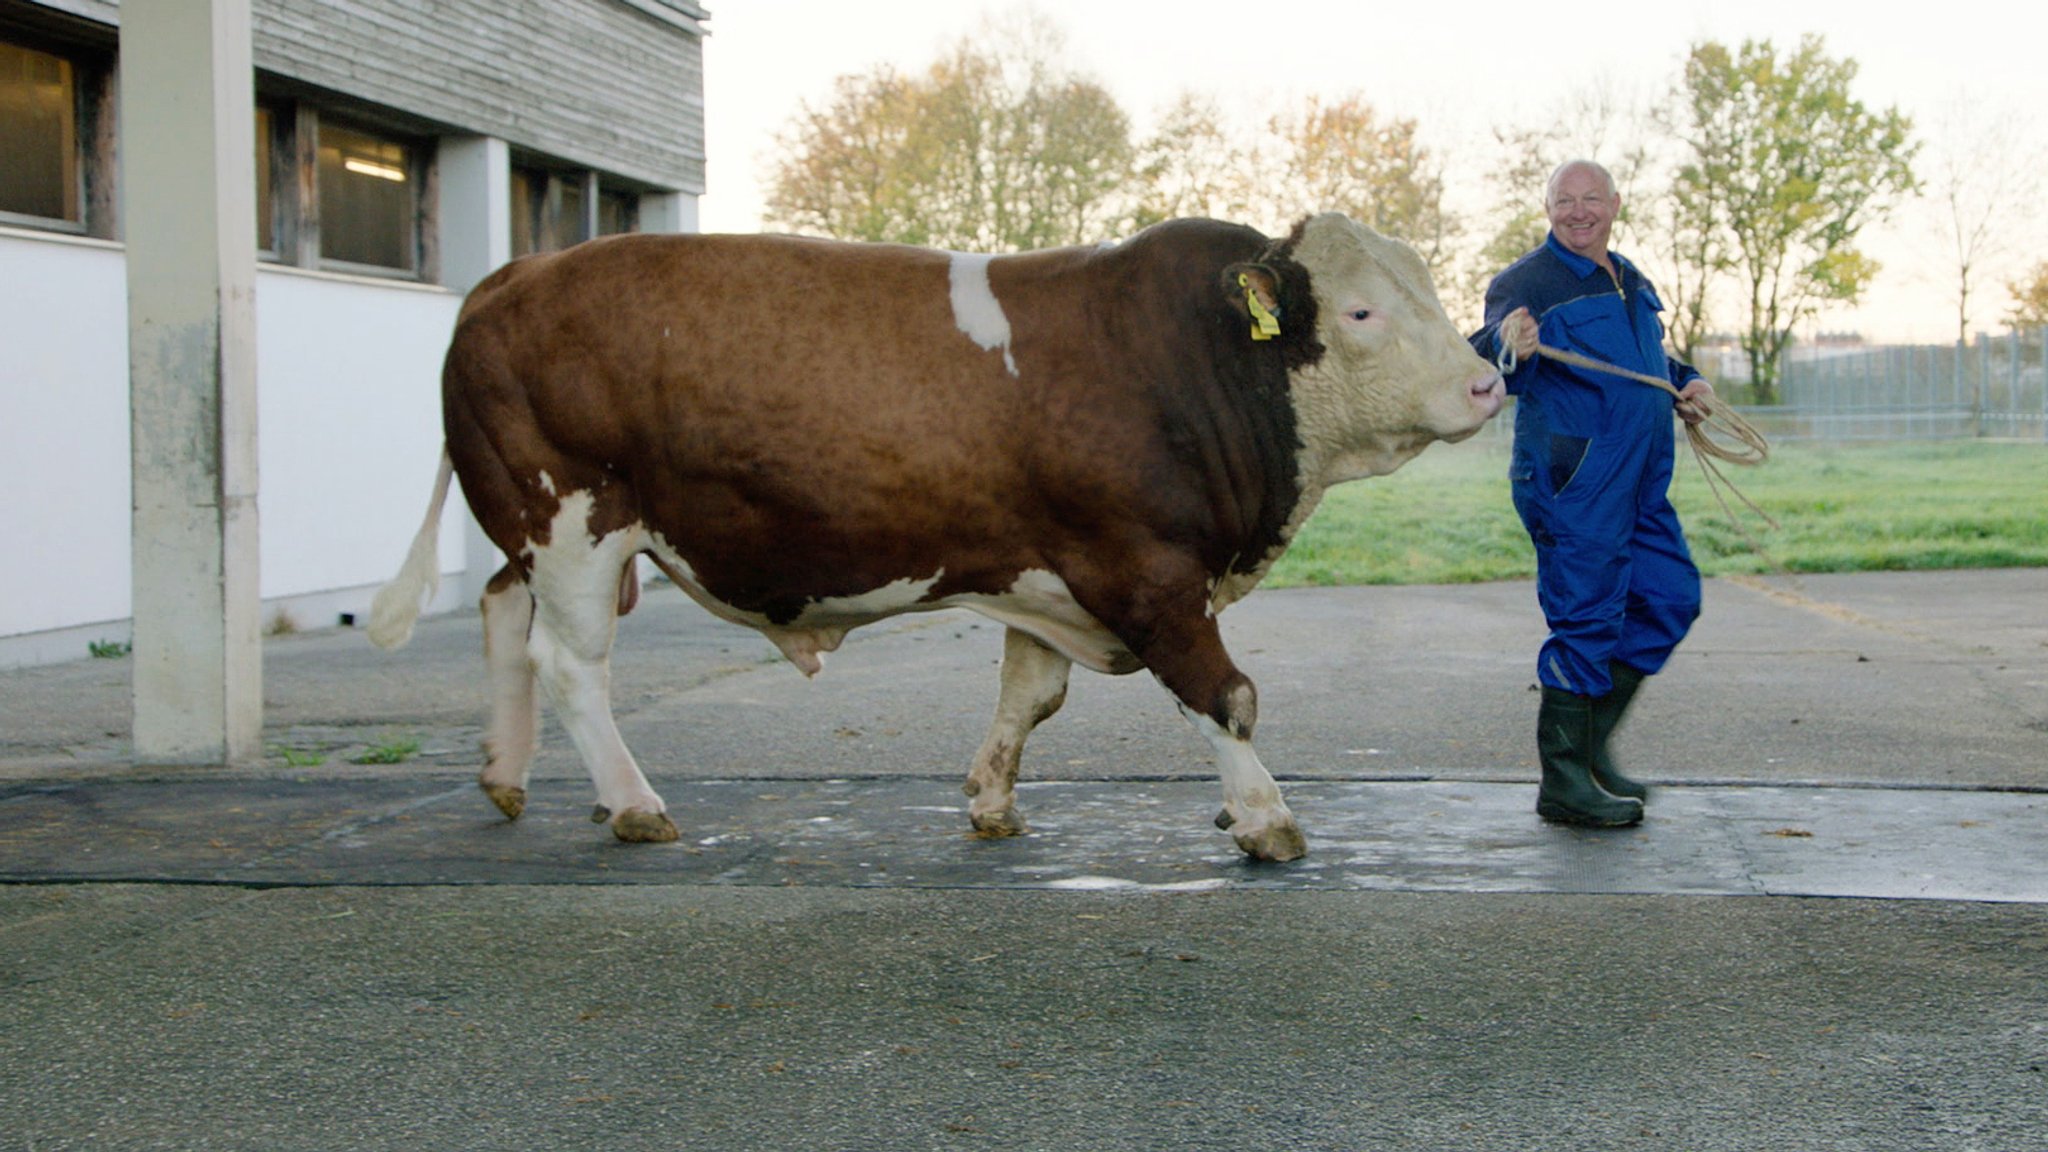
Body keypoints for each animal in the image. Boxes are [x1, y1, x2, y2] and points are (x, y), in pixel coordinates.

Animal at [368, 217, 1499, 860]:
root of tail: (515, 272)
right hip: (571, 520)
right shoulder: (1146, 571)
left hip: (530, 530)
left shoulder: (1044, 566)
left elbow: (1030, 696)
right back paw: (634, 804)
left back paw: (506, 776)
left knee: (501, 620)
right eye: (1361, 312)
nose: (1488, 381)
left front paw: (992, 802)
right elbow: (1224, 695)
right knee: (569, 665)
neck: (1179, 359)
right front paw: (1264, 819)